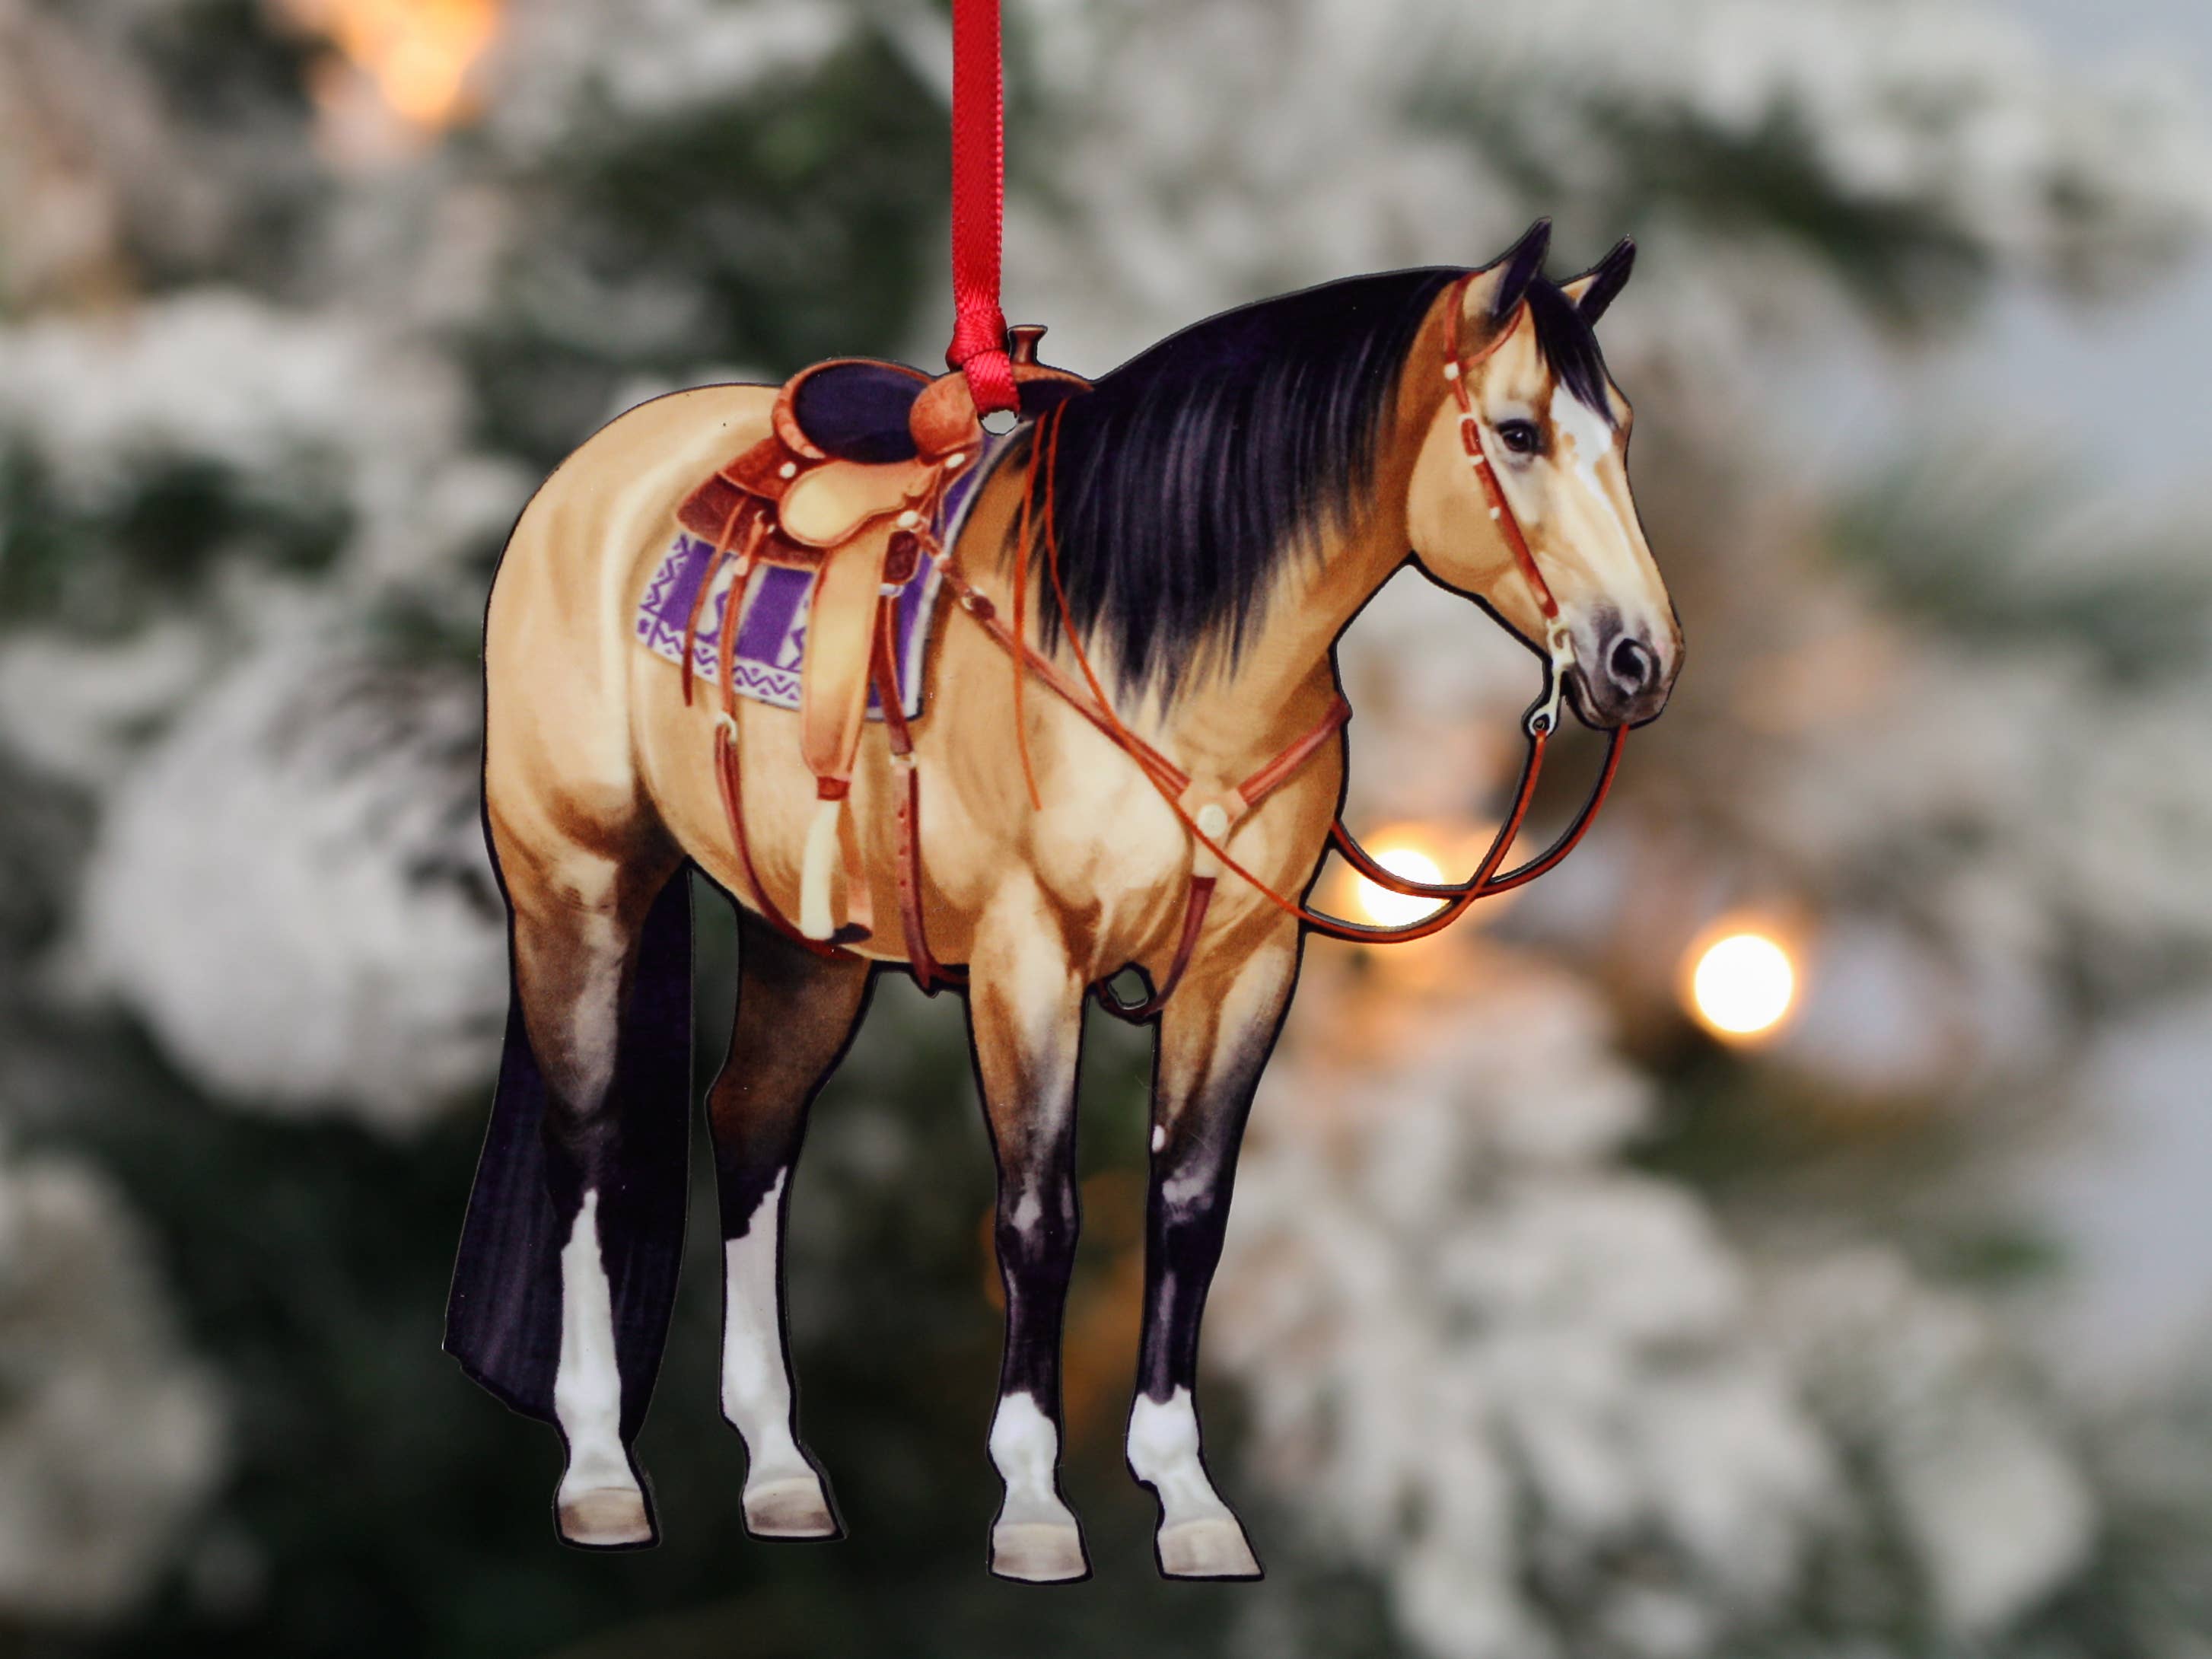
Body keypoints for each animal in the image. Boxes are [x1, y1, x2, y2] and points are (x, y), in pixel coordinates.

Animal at [445, 219, 1681, 1583]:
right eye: (1514, 431)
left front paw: (1187, 1498)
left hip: (803, 940)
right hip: (578, 880)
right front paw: (1034, 1504)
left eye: (1620, 429)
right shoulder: (1025, 957)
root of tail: (591, 475)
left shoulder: (1244, 964)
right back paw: (600, 1468)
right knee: (589, 1138)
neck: (1159, 651)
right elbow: (1038, 1217)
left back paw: (779, 1471)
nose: (1638, 660)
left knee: (751, 1121)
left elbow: (1189, 1209)